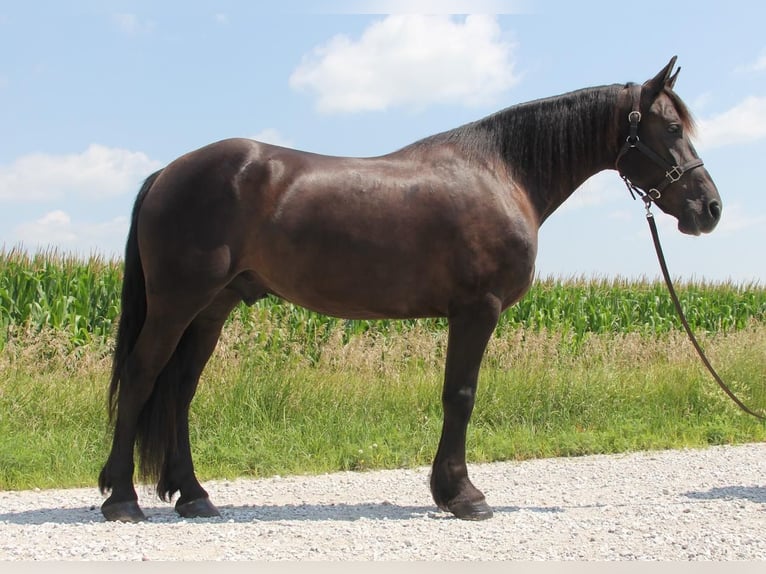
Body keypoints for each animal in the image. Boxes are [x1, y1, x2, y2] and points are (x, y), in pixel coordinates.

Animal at [99, 57, 724, 520]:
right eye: (672, 129)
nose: (710, 208)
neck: (501, 174)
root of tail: (167, 173)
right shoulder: (476, 310)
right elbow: (461, 396)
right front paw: (462, 495)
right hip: (177, 305)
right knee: (142, 376)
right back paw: (122, 499)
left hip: (212, 309)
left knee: (180, 390)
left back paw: (194, 496)